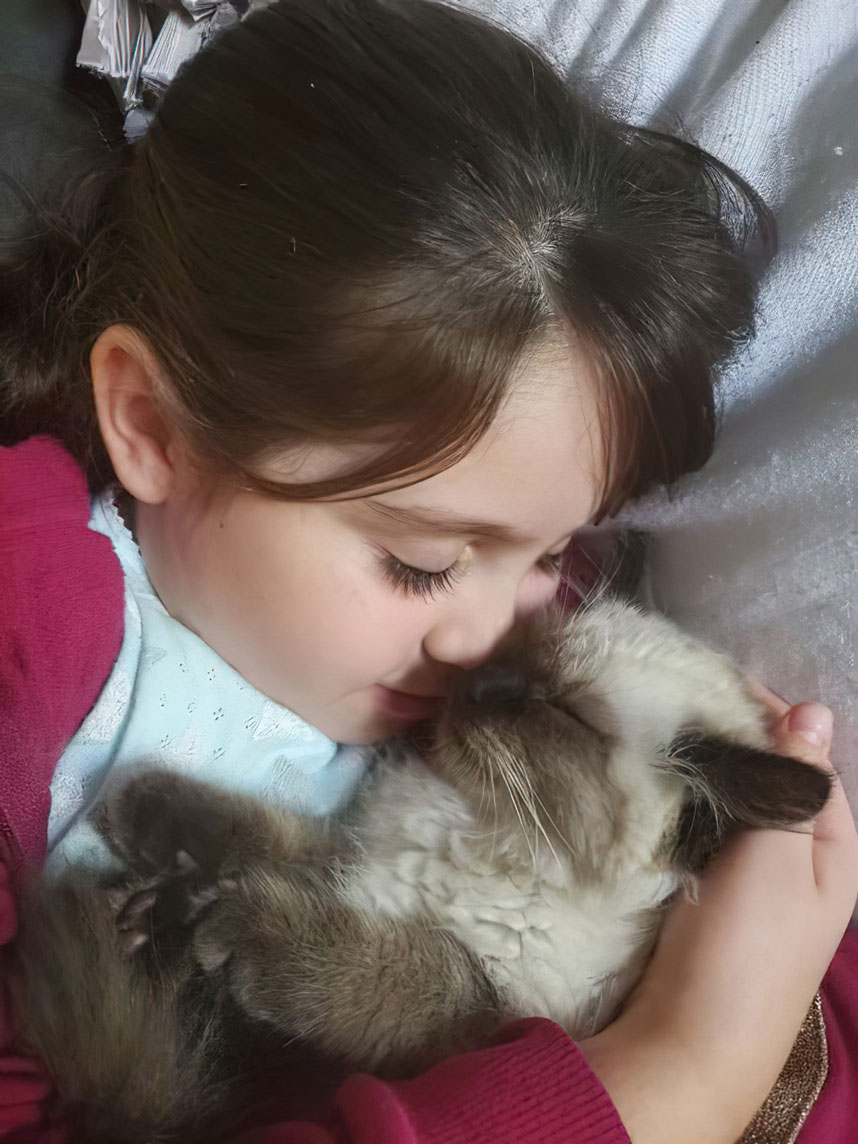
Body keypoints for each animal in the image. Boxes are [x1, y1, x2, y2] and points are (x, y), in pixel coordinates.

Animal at [10, 596, 830, 1143]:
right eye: (514, 652)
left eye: (562, 716)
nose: (478, 685)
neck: (482, 826)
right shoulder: (361, 861)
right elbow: (275, 840)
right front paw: (155, 815)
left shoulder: (493, 1013)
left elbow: (400, 965)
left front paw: (239, 924)